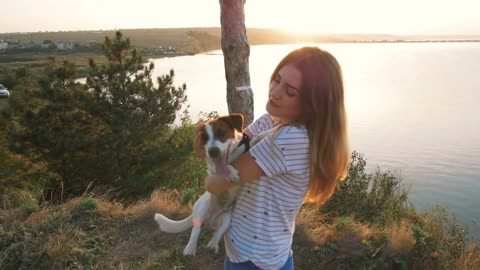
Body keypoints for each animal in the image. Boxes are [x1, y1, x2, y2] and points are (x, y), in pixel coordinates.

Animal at [155, 113, 253, 255]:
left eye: (221, 133)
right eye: (204, 138)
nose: (212, 151)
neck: (232, 157)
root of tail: (210, 220)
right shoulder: (211, 170)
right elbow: (220, 170)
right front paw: (230, 172)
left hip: (227, 218)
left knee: (218, 232)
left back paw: (213, 245)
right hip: (203, 206)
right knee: (196, 229)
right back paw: (190, 248)